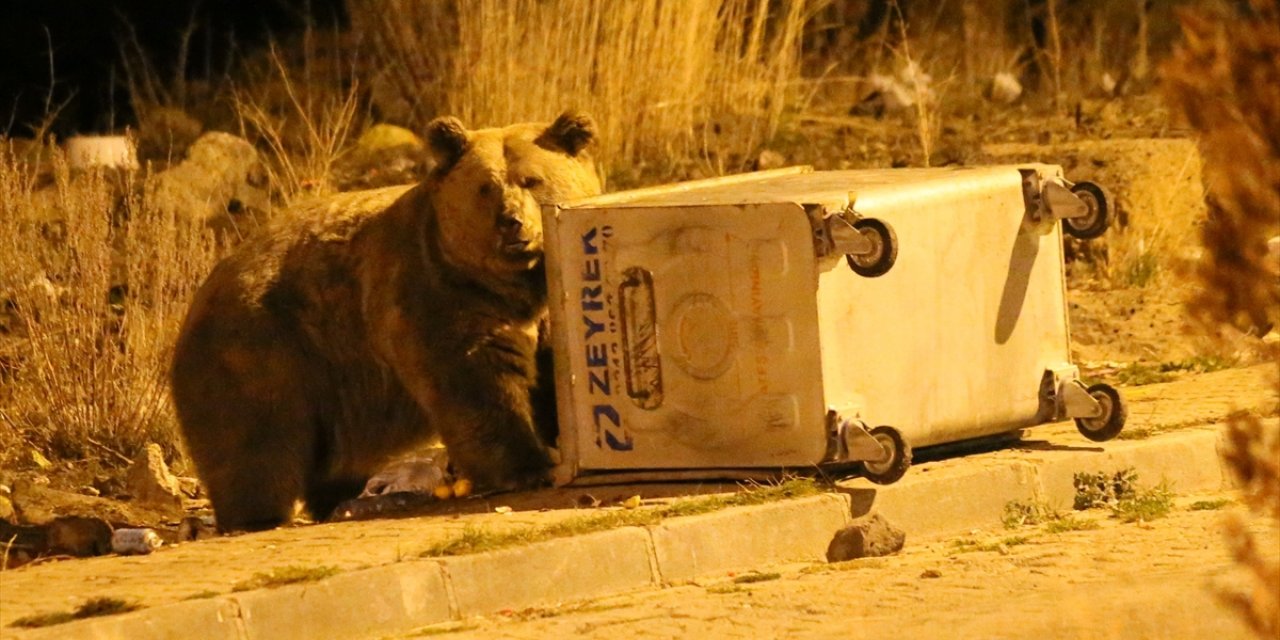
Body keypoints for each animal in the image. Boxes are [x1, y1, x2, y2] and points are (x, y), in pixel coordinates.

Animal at [168, 112, 599, 532]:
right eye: (485, 188)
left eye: (532, 180)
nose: (511, 222)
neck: (514, 284)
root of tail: (199, 294)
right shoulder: (436, 293)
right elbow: (476, 383)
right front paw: (527, 467)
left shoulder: (542, 309)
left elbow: (552, 373)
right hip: (264, 350)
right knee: (257, 440)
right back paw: (259, 516)